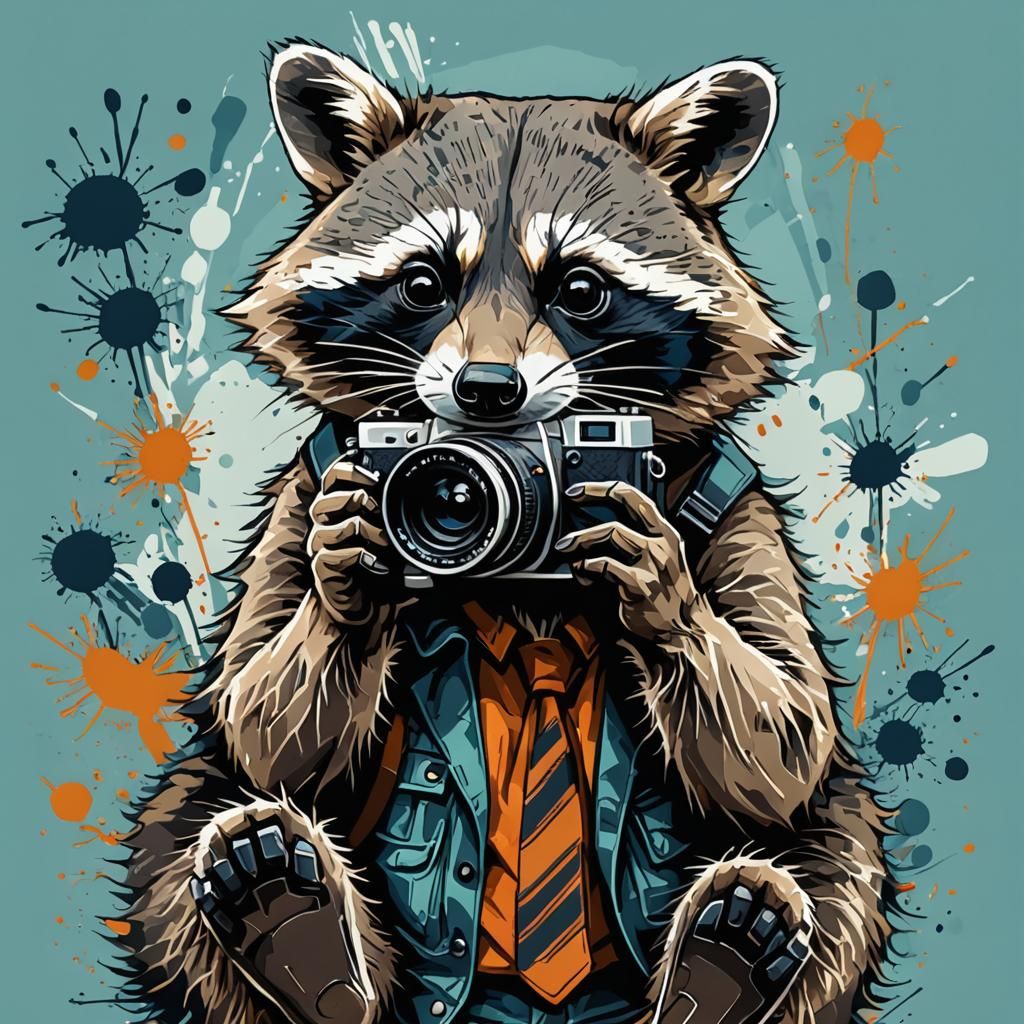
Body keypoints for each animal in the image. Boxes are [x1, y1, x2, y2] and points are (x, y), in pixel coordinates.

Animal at [118, 43, 892, 1024]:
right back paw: (298, 926)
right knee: (188, 817)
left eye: (581, 290)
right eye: (422, 284)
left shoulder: (736, 505)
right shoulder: (307, 484)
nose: (487, 390)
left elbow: (788, 742)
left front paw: (661, 597)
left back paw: (722, 958)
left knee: (834, 838)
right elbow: (260, 727)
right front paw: (344, 598)